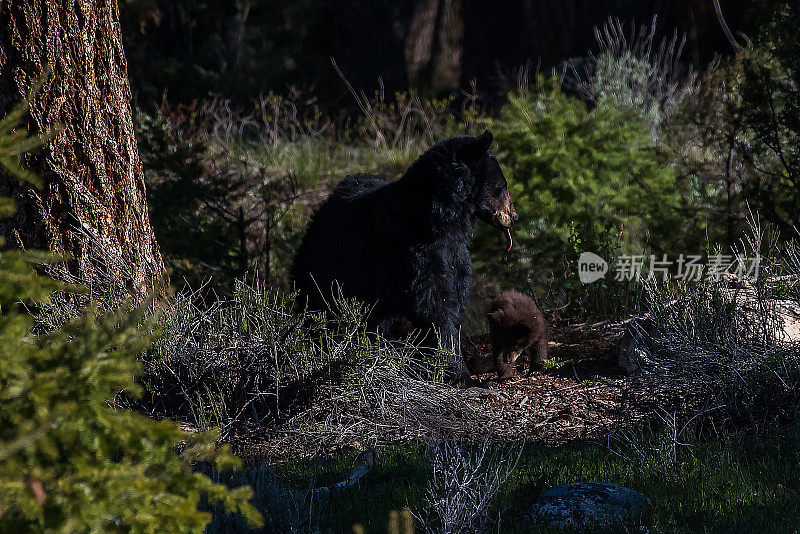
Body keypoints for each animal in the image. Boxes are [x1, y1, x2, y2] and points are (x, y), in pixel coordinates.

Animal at [290, 131, 516, 378]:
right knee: (318, 307)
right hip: (325, 268)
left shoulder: (455, 255)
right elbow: (436, 305)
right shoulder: (415, 253)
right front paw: (457, 370)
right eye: (502, 187)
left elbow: (453, 298)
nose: (514, 216)